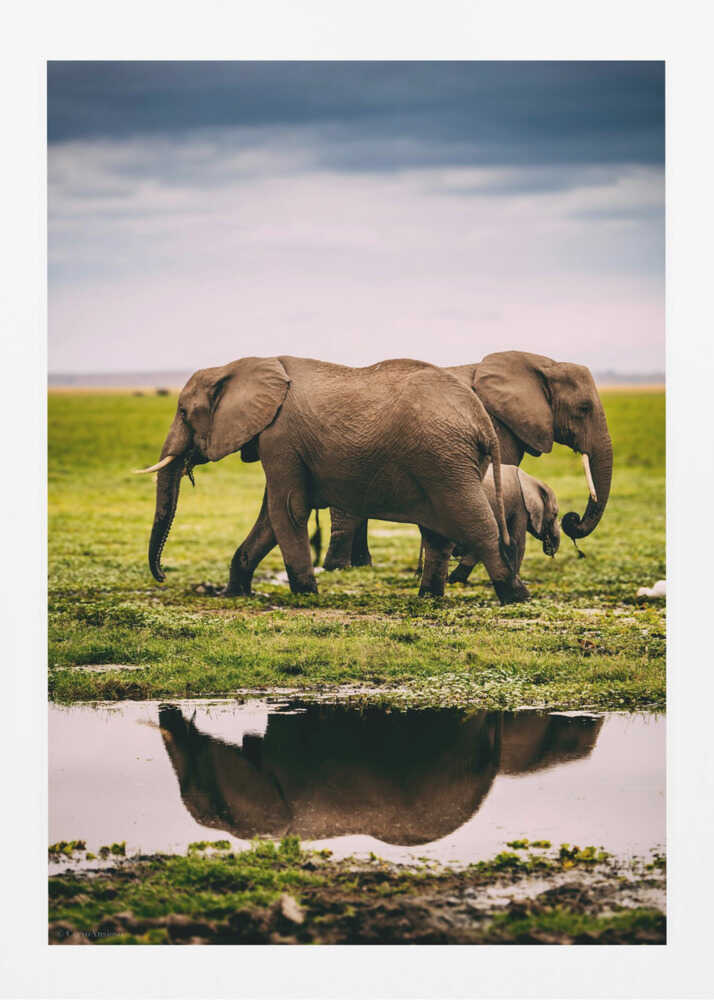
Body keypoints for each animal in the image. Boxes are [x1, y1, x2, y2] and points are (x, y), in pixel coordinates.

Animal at [136, 356, 529, 605]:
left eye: (183, 412)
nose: (162, 576)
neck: (238, 367)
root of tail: (482, 421)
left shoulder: (281, 436)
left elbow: (286, 510)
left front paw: (305, 594)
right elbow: (269, 518)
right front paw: (233, 594)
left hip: (445, 460)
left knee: (475, 523)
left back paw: (515, 596)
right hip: (445, 463)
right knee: (438, 533)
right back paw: (428, 597)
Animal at [322, 351, 613, 571]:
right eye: (584, 408)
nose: (572, 519)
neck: (542, 364)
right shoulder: (497, 425)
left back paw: (360, 565)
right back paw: (339, 568)